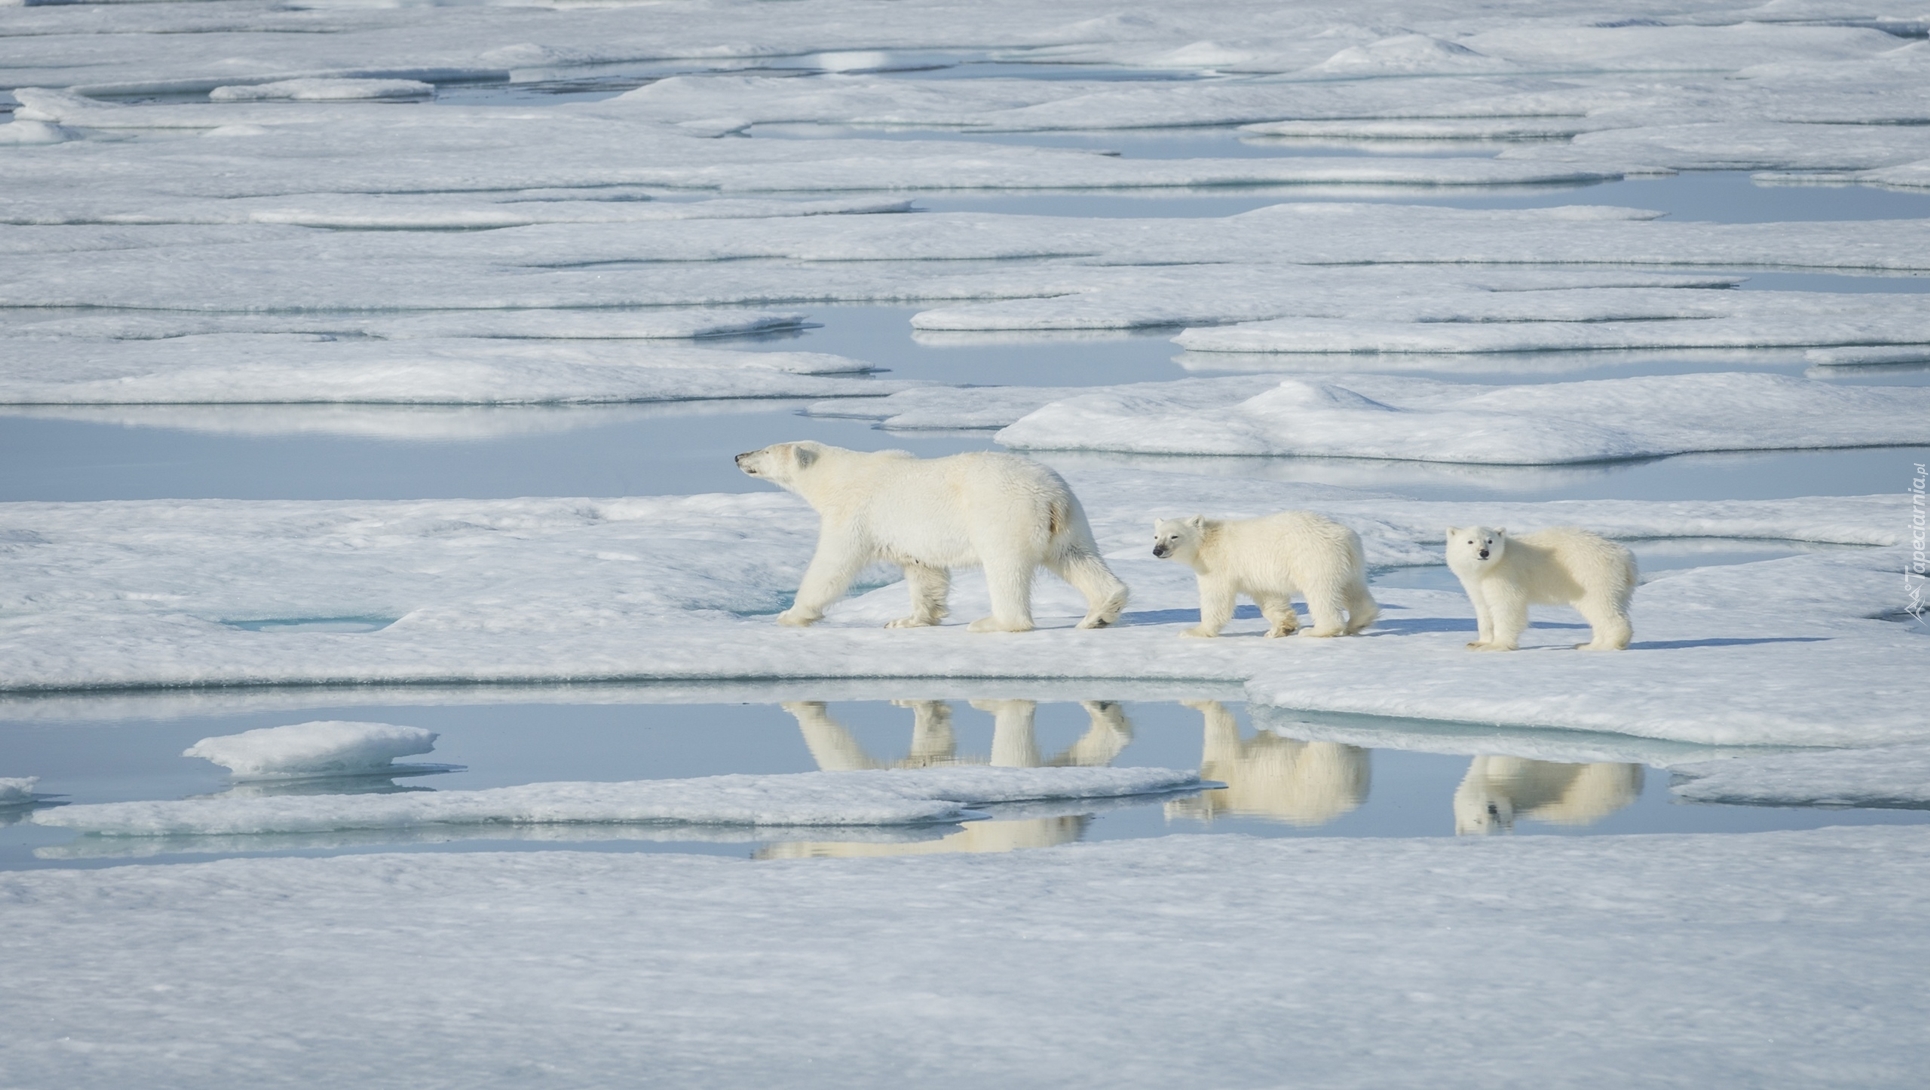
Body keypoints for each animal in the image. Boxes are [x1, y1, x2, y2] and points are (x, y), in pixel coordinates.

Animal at [737, 439, 1127, 628]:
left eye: (765, 450)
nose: (739, 456)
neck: (838, 476)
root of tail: (1050, 495)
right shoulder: (912, 539)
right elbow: (925, 572)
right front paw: (907, 620)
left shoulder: (854, 513)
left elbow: (833, 564)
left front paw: (792, 614)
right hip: (1071, 518)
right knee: (1077, 557)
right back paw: (1100, 613)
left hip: (1003, 512)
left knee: (1005, 567)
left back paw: (994, 623)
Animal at [1150, 509, 1381, 636]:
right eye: (1156, 536)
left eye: (1174, 536)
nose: (1157, 550)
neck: (1207, 541)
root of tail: (1344, 537)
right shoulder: (1257, 575)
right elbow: (1270, 597)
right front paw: (1281, 628)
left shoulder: (1217, 565)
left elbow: (1216, 599)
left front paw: (1194, 631)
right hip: (1350, 562)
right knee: (1354, 588)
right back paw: (1358, 621)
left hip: (1312, 558)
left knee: (1320, 593)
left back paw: (1317, 630)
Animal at [1451, 524, 1628, 652]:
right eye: (1470, 541)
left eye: (1490, 540)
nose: (1483, 553)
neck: (1489, 568)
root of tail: (1626, 558)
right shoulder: (1475, 583)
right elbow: (1483, 608)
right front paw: (1477, 643)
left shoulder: (1506, 574)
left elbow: (1507, 607)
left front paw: (1497, 646)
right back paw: (1588, 644)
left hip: (1591, 574)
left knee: (1600, 607)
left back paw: (1608, 644)